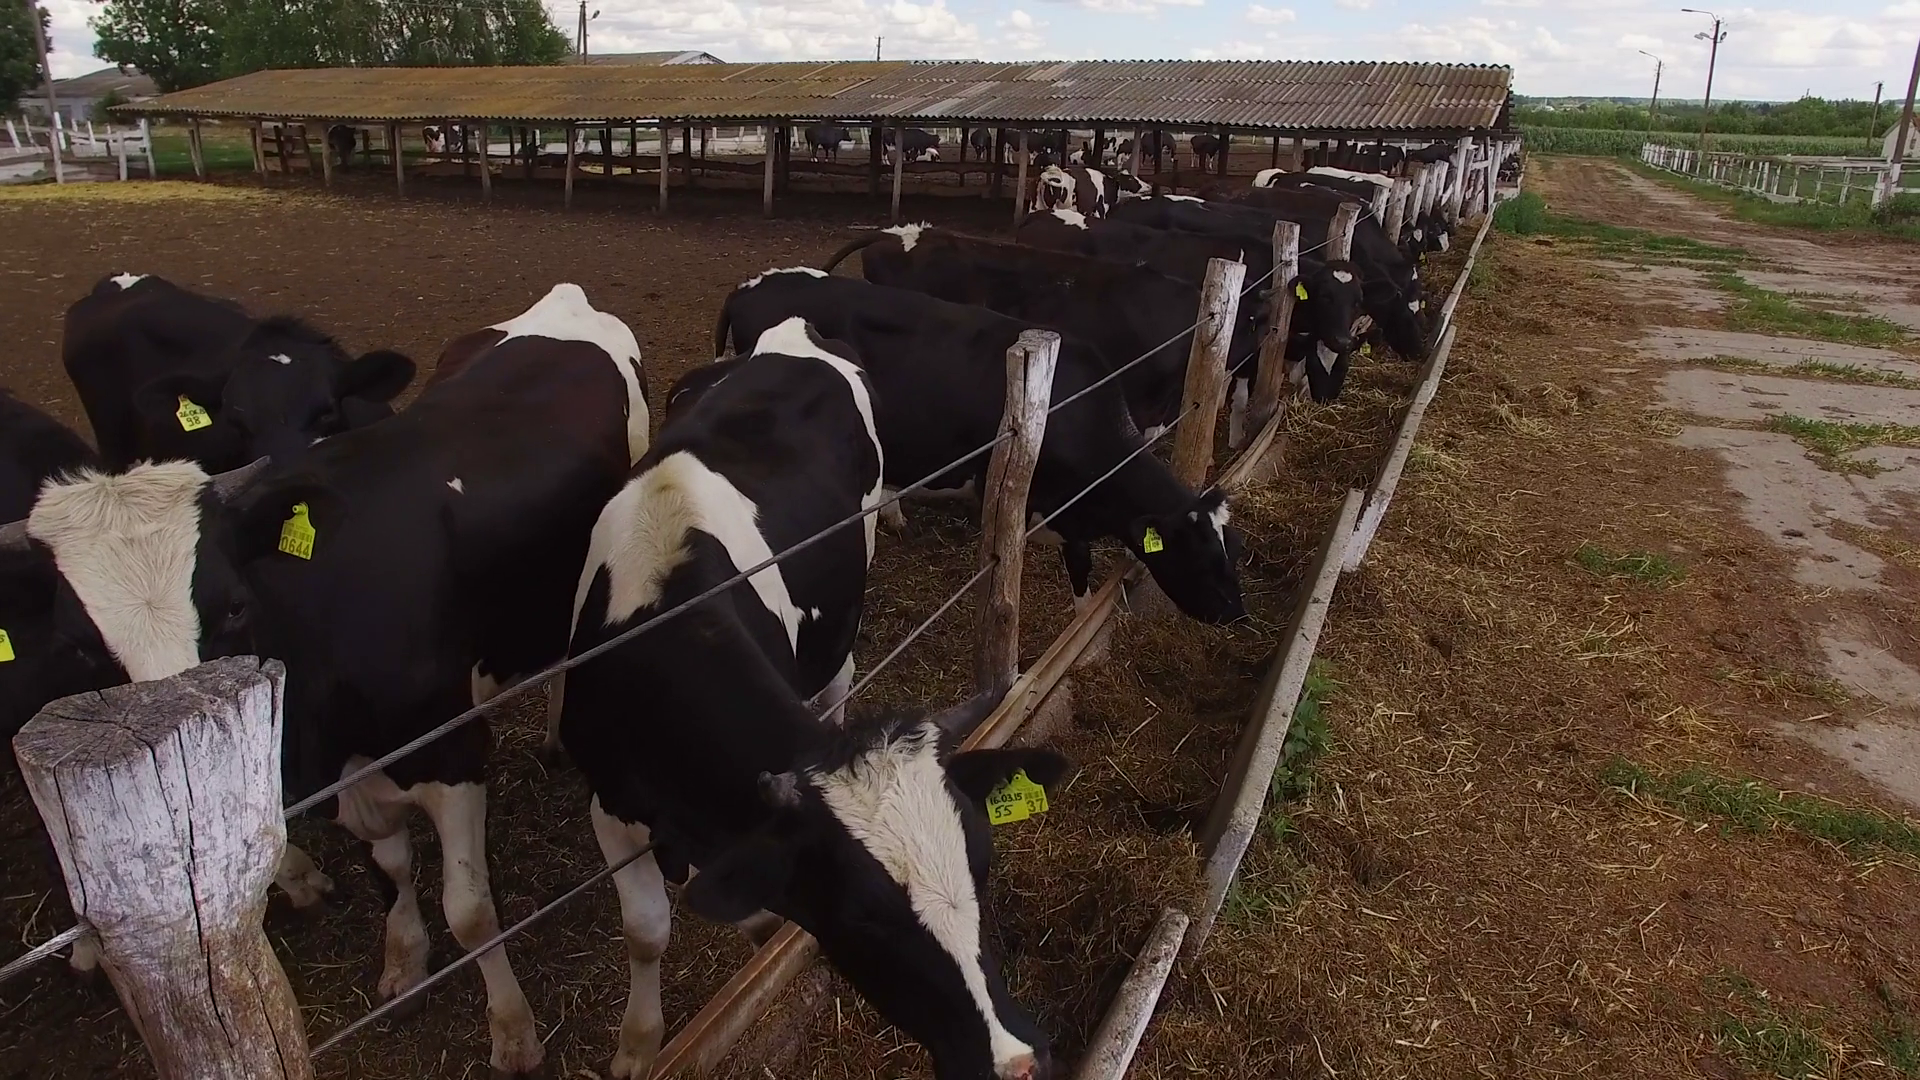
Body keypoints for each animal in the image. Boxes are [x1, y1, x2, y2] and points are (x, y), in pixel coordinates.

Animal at [561, 319, 1065, 1080]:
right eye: (864, 916)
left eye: (983, 864)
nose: (1016, 1062)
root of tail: (792, 334)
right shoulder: (610, 800)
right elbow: (647, 929)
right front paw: (637, 1047)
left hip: (851, 593)